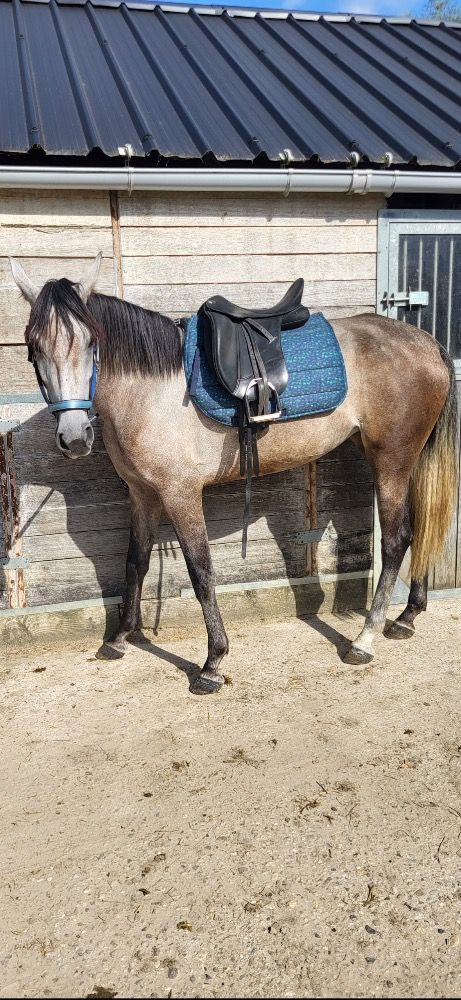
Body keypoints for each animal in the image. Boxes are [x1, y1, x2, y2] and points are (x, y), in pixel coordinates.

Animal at [10, 254, 459, 694]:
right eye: (34, 346)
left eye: (91, 342)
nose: (74, 438)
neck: (149, 391)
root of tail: (425, 342)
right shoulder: (142, 494)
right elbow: (135, 561)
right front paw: (119, 639)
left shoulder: (180, 494)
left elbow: (201, 571)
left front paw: (212, 663)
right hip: (405, 460)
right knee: (418, 528)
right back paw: (406, 617)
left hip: (390, 461)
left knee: (396, 540)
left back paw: (364, 640)